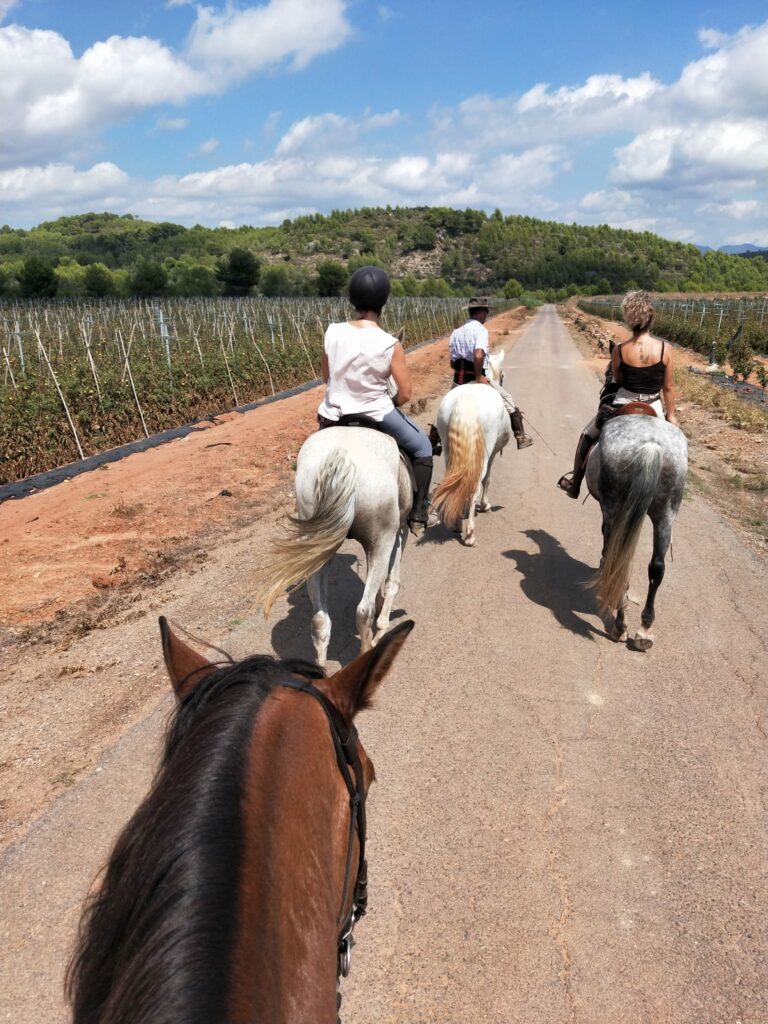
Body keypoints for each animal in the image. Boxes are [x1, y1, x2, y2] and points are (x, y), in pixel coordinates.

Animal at [259, 423, 415, 663]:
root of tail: (342, 457)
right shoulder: (400, 532)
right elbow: (392, 581)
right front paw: (382, 627)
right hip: (381, 540)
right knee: (363, 610)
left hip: (315, 546)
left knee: (319, 619)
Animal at [434, 350, 512, 548]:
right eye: (502, 376)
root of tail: (466, 400)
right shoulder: (492, 453)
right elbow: (487, 479)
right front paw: (485, 505)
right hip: (484, 451)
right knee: (475, 483)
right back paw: (470, 533)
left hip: (448, 449)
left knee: (456, 481)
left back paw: (455, 522)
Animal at [585, 413, 688, 647]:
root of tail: (651, 445)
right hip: (666, 514)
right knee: (657, 567)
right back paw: (644, 631)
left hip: (614, 507)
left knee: (618, 561)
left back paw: (619, 627)